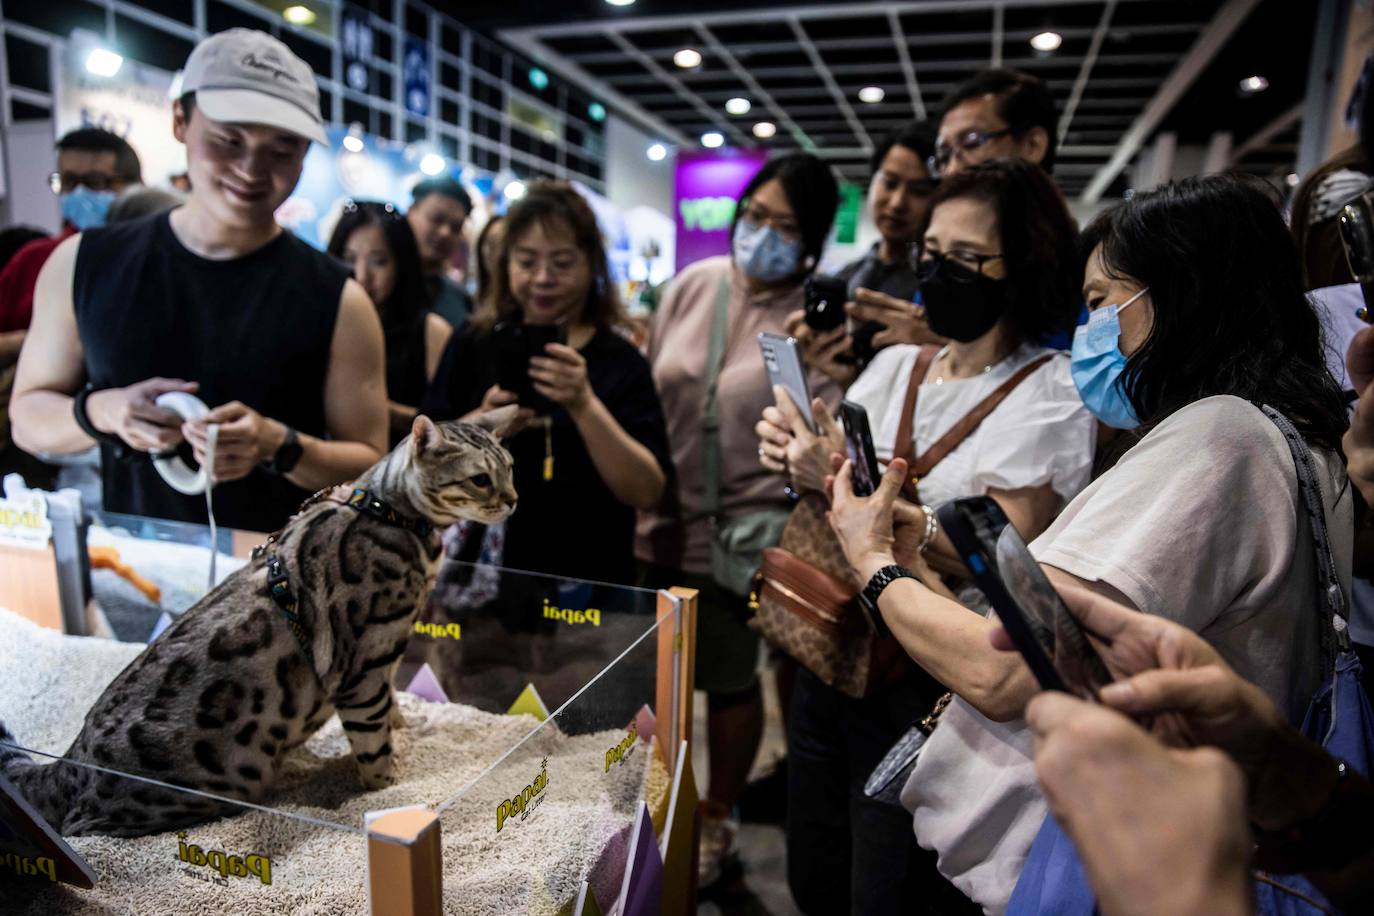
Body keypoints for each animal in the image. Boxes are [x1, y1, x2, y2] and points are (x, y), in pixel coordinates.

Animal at [0, 414, 516, 840]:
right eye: (479, 479)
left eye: (510, 468)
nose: (513, 501)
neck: (386, 510)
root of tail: (68, 763)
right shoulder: (366, 663)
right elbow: (374, 743)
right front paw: (388, 793)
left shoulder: (384, 658)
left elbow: (392, 706)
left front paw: (410, 728)